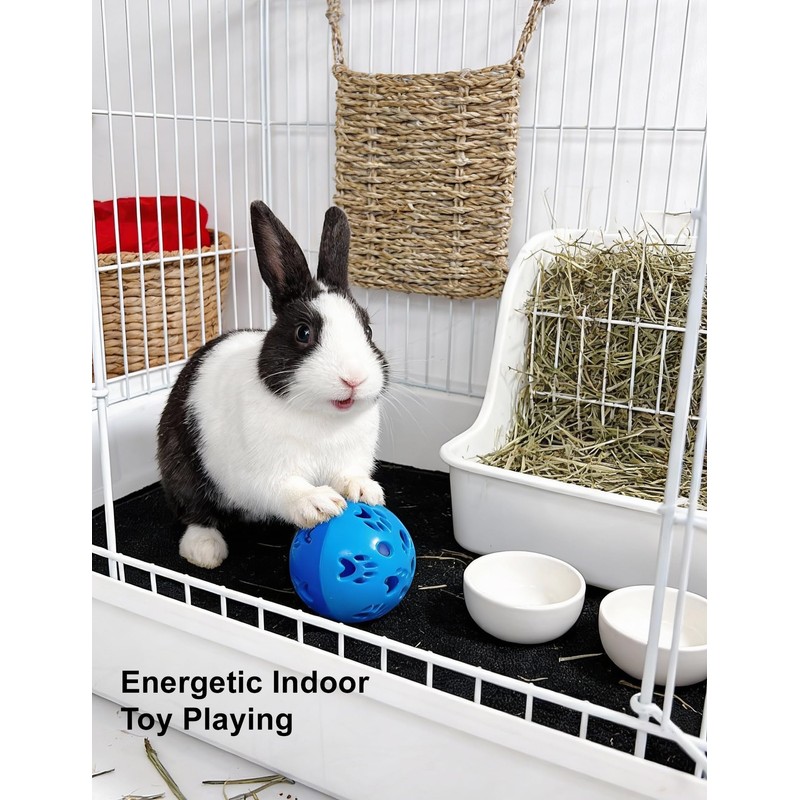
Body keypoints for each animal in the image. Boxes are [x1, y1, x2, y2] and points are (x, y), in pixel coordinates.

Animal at [156, 200, 389, 569]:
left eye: (367, 331)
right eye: (303, 333)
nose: (354, 378)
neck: (322, 418)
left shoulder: (349, 458)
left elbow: (348, 475)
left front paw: (366, 491)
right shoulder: (262, 474)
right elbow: (285, 489)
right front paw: (319, 504)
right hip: (180, 464)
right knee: (194, 512)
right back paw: (205, 550)